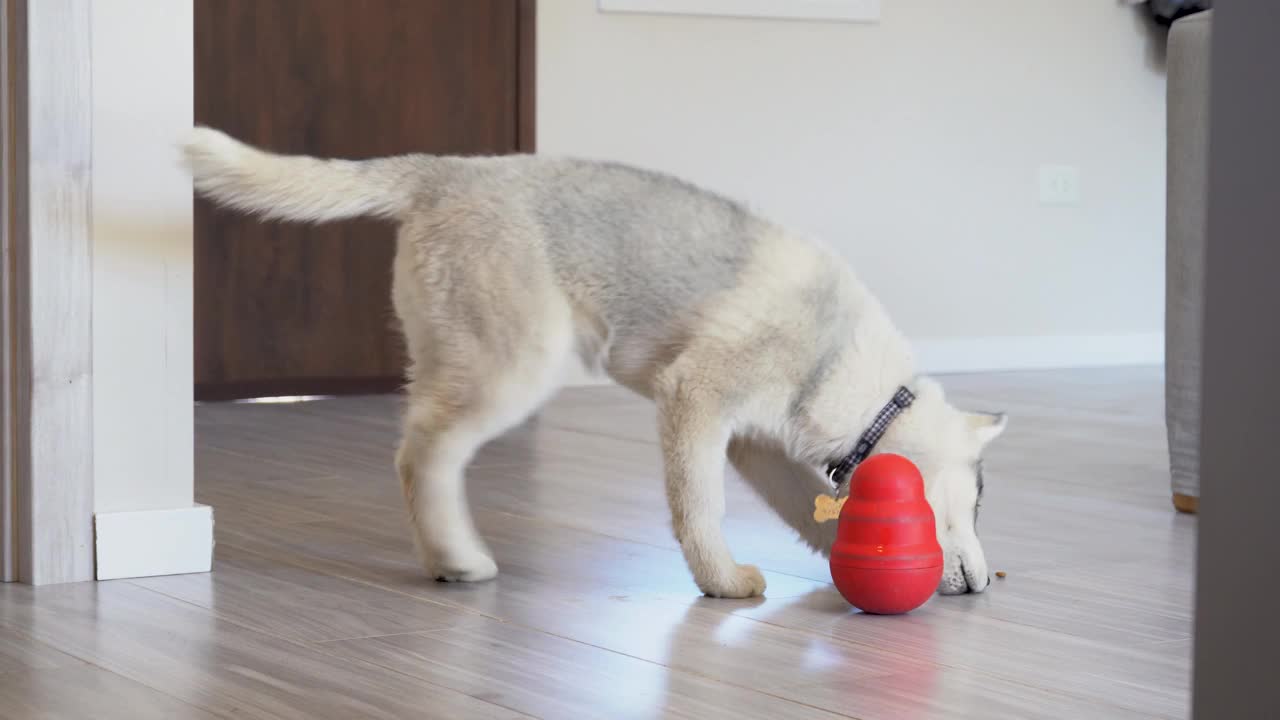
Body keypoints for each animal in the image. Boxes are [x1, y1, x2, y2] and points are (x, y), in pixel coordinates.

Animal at [180, 127, 1003, 594]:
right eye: (978, 501)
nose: (981, 586)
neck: (855, 378)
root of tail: (445, 169)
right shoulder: (695, 399)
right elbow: (698, 507)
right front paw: (723, 582)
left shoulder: (754, 444)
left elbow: (808, 509)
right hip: (514, 367)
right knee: (421, 456)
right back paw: (458, 559)